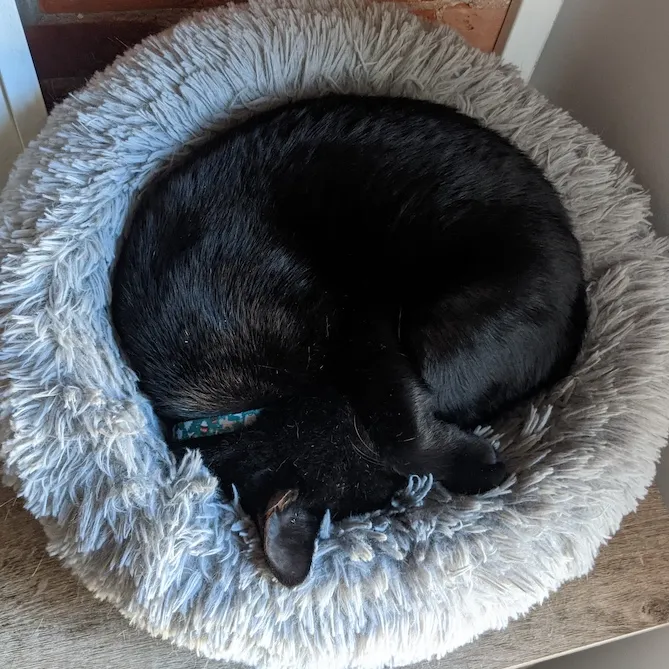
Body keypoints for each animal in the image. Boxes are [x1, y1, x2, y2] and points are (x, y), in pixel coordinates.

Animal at [112, 94, 588, 584]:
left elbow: (401, 434)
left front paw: (478, 472)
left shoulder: (358, 322)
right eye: (387, 492)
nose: (404, 497)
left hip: (438, 334)